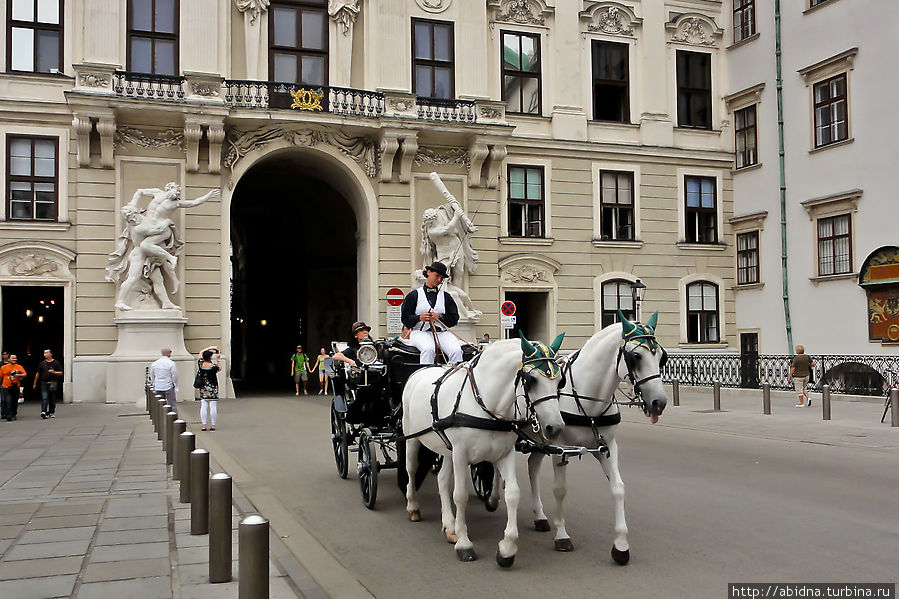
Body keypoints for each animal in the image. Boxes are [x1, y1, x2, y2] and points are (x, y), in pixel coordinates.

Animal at [404, 336, 568, 568]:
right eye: (531, 380)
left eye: (560, 381)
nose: (556, 428)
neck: (486, 406)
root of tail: (420, 371)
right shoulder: (461, 454)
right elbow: (460, 496)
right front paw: (464, 544)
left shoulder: (504, 455)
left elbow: (513, 494)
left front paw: (507, 549)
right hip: (412, 438)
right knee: (411, 469)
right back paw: (413, 506)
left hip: (447, 450)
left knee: (442, 480)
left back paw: (449, 525)